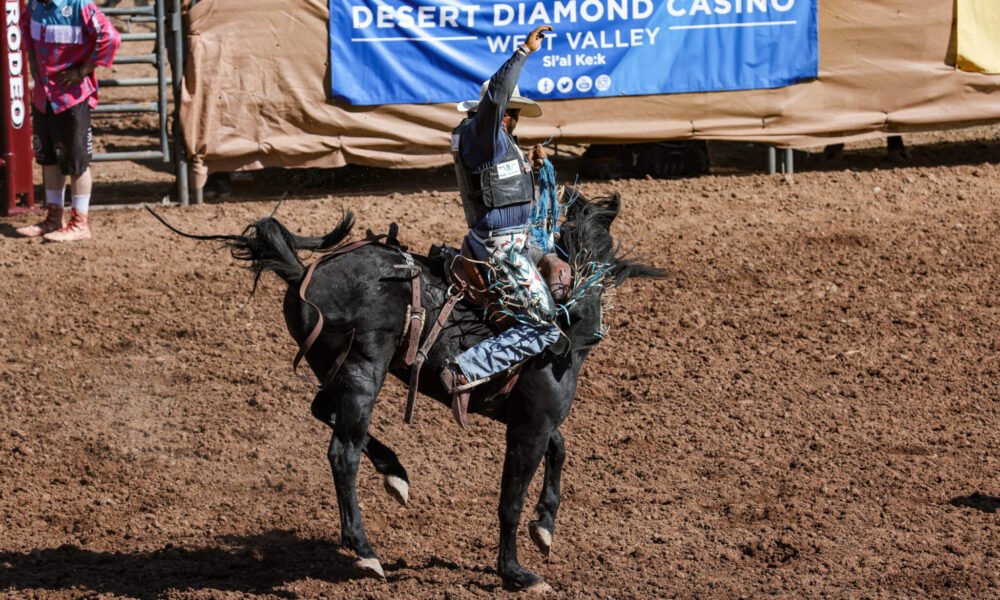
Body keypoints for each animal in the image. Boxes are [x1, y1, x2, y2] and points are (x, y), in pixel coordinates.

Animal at [148, 191, 660, 592]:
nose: (591, 331)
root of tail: (302, 273)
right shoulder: (529, 425)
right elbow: (511, 498)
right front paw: (516, 572)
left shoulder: (528, 418)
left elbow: (560, 448)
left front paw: (545, 527)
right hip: (362, 374)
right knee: (342, 452)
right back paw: (366, 550)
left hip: (336, 373)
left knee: (323, 411)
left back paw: (395, 474)